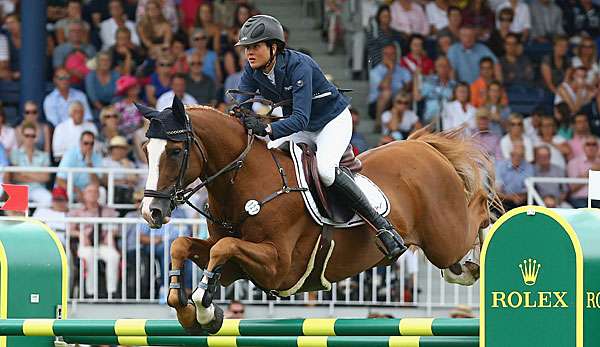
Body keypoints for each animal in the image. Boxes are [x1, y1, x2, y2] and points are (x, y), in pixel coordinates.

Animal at [138, 97, 500, 334]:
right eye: (145, 151)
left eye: (175, 151)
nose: (151, 212)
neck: (245, 180)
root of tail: (424, 147)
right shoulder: (237, 271)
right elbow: (186, 246)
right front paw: (190, 310)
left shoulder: (278, 267)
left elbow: (222, 247)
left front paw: (202, 307)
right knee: (456, 264)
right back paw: (468, 265)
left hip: (445, 239)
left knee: (478, 213)